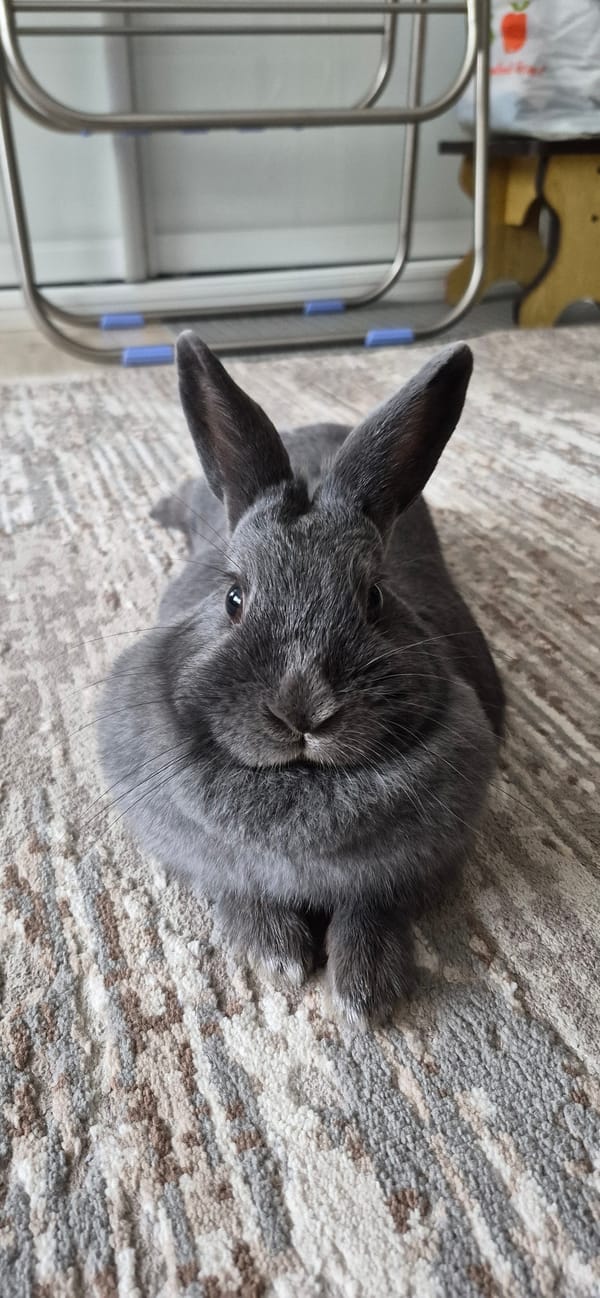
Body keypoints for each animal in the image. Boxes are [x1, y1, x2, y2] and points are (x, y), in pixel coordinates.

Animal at [97, 332, 505, 1026]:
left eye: (374, 598)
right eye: (233, 598)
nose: (302, 711)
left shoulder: (414, 868)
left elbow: (375, 905)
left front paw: (365, 990)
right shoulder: (204, 860)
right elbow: (235, 890)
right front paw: (279, 955)